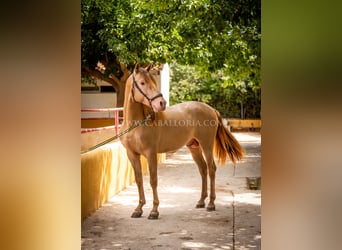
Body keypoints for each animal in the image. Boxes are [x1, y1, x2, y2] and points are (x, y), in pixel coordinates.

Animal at [120, 63, 243, 220]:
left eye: (153, 82)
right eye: (142, 83)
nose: (161, 103)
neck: (136, 124)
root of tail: (211, 109)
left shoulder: (151, 153)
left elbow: (153, 180)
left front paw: (154, 211)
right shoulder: (132, 154)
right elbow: (139, 179)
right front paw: (138, 209)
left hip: (207, 145)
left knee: (211, 169)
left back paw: (211, 204)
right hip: (194, 147)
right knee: (203, 169)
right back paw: (201, 201)